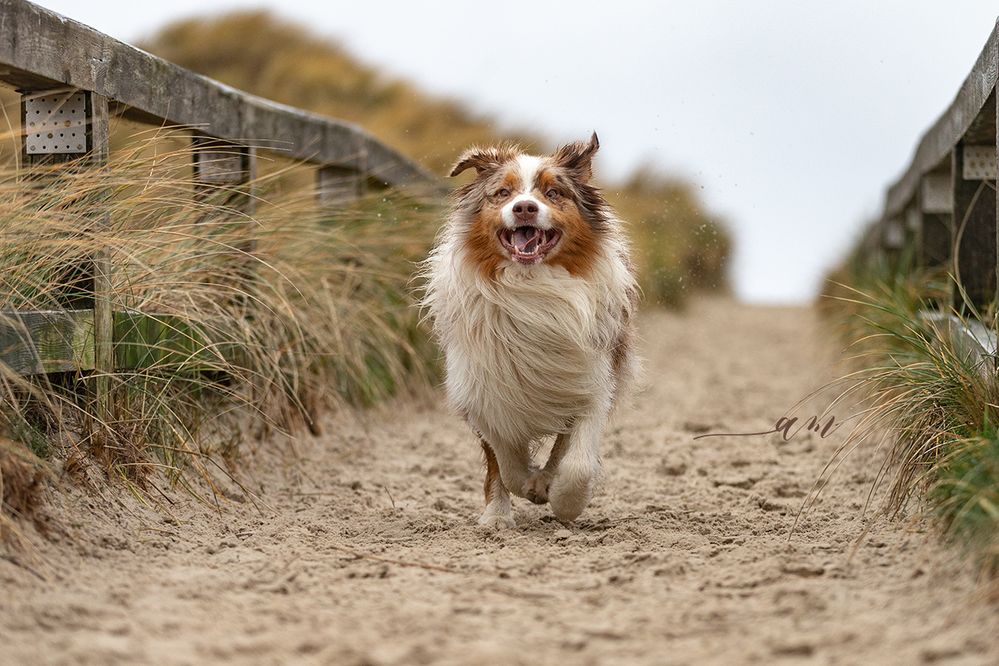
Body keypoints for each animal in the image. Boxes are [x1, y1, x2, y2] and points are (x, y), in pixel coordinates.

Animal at [422, 132, 640, 524]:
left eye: (553, 192)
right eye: (503, 192)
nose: (525, 208)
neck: (531, 289)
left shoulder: (594, 380)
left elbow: (578, 461)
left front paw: (565, 500)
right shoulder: (483, 387)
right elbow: (505, 463)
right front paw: (504, 510)